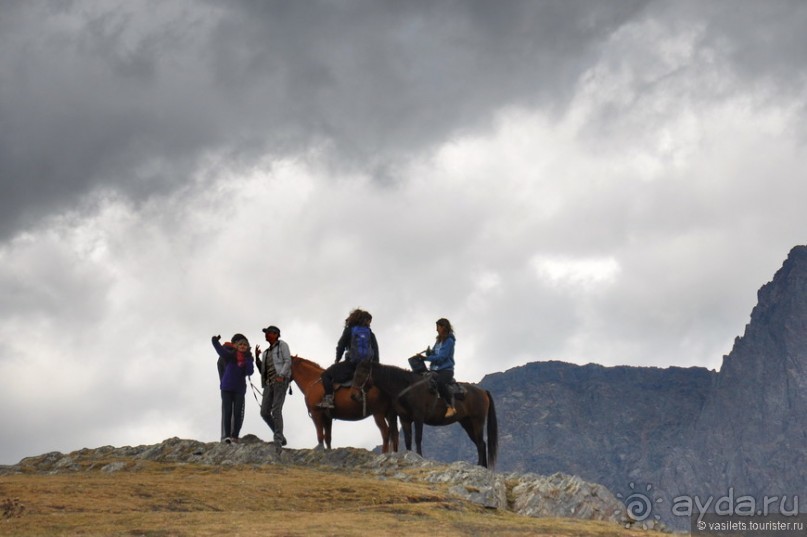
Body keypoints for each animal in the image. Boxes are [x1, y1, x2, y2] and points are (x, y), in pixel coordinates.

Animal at [350, 358, 496, 466]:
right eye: (354, 374)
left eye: (360, 374)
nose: (354, 396)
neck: (407, 388)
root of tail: (483, 391)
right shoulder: (404, 419)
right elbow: (408, 439)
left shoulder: (418, 417)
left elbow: (418, 438)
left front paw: (419, 456)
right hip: (467, 423)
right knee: (480, 443)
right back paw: (483, 467)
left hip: (477, 421)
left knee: (480, 444)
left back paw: (479, 465)